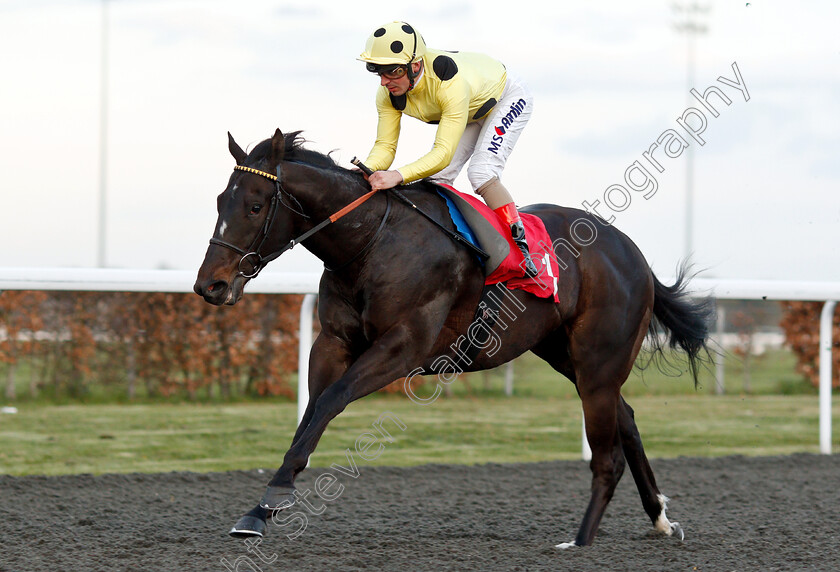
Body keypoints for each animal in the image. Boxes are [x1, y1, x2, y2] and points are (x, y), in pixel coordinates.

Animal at [194, 127, 712, 548]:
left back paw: (581, 541)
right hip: (567, 355)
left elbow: (330, 401)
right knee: (626, 418)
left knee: (608, 454)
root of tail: (632, 252)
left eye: (255, 205)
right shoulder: (333, 342)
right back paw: (660, 519)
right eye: (220, 201)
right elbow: (311, 411)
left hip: (598, 359)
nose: (210, 286)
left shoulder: (404, 344)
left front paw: (275, 496)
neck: (371, 242)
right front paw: (259, 509)